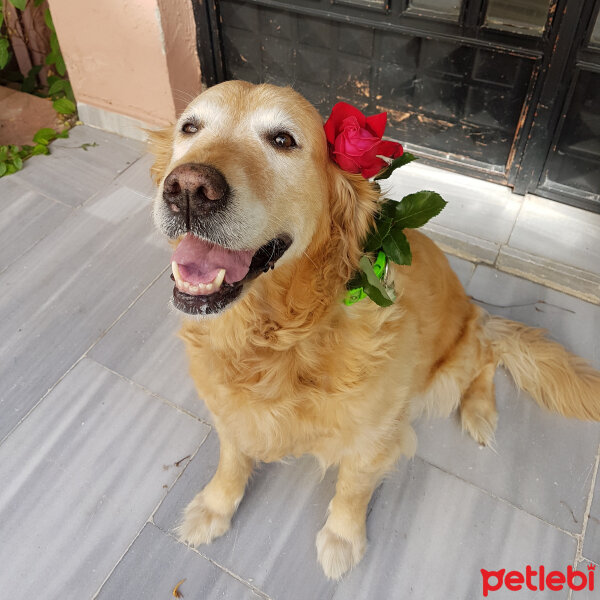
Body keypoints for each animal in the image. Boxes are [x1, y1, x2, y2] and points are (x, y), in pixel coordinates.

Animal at [150, 82, 600, 580]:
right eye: (189, 127)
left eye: (283, 140)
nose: (189, 188)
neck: (280, 335)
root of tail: (476, 310)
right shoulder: (229, 409)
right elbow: (231, 460)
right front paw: (214, 508)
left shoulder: (375, 435)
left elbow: (352, 489)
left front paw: (342, 540)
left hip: (447, 371)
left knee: (485, 355)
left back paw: (480, 412)